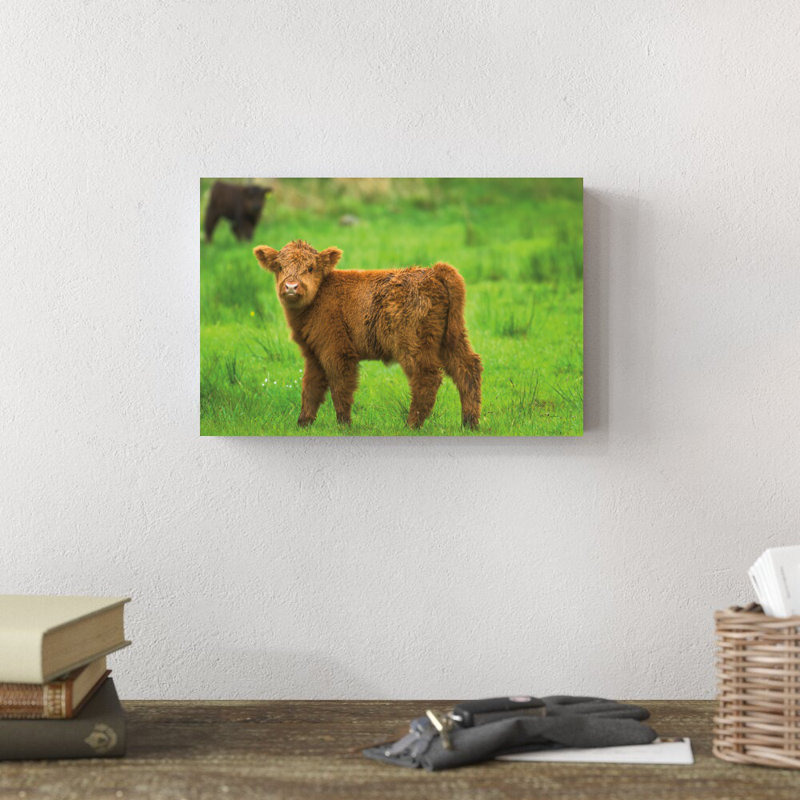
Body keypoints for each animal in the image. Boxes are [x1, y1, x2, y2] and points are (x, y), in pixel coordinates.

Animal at [253, 240, 482, 430]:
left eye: (310, 268)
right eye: (279, 267)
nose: (291, 287)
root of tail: (433, 271)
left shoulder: (337, 350)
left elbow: (340, 387)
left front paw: (344, 425)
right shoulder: (313, 354)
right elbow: (310, 388)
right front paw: (303, 423)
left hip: (413, 343)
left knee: (427, 377)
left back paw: (412, 425)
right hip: (451, 338)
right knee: (467, 368)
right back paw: (469, 423)